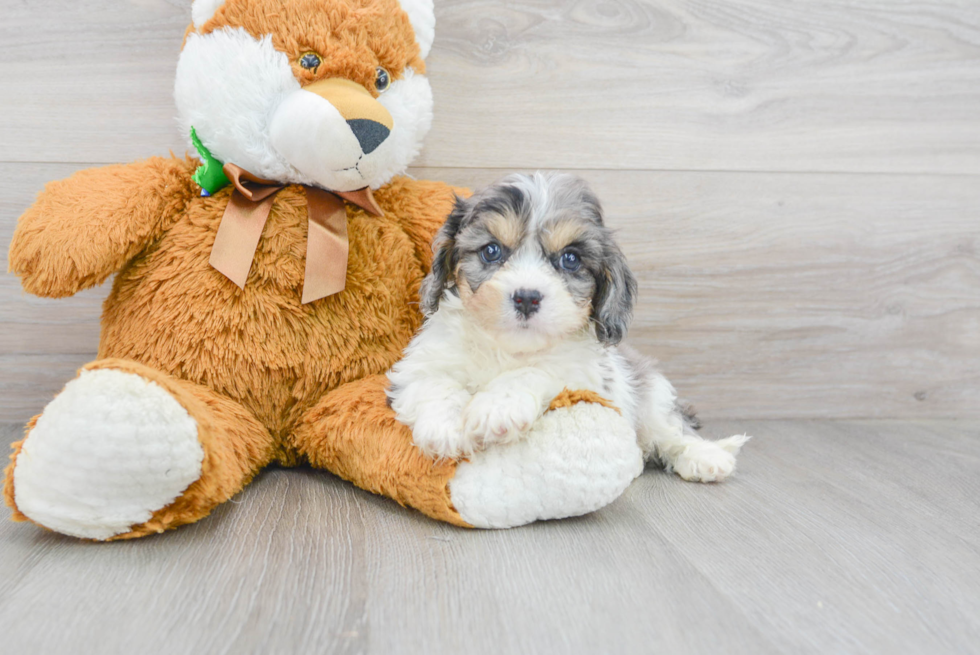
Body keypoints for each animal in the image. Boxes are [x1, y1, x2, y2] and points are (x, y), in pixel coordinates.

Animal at [386, 172, 748, 484]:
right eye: (491, 250)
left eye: (570, 259)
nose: (527, 297)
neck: (508, 348)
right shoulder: (419, 365)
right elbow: (434, 383)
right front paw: (444, 428)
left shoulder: (582, 374)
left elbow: (535, 371)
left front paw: (497, 407)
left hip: (650, 395)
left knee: (672, 429)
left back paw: (705, 456)